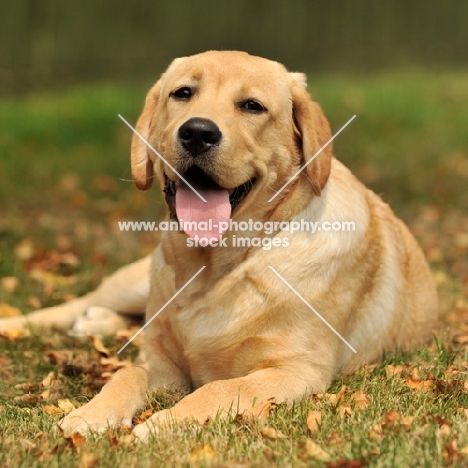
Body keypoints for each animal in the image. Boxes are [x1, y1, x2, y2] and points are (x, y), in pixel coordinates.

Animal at [1, 52, 436, 442]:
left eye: (252, 106)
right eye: (183, 93)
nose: (197, 132)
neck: (219, 266)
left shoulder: (296, 370)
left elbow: (222, 387)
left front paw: (163, 423)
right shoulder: (160, 364)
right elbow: (127, 373)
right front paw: (92, 414)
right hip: (135, 281)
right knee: (81, 305)